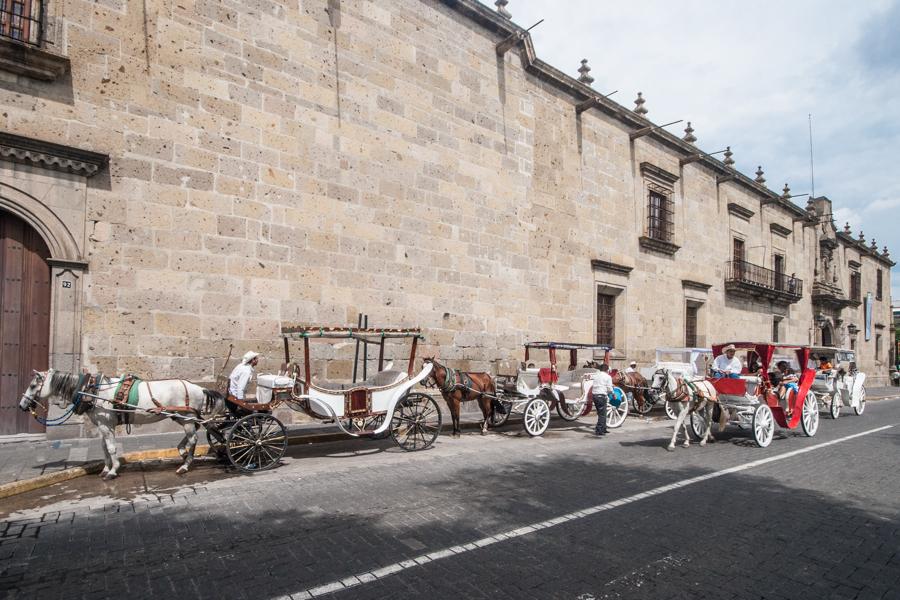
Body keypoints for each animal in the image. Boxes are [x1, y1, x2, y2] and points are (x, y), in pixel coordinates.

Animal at [19, 370, 225, 478]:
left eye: (32, 385)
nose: (21, 405)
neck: (91, 391)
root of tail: (199, 388)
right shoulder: (103, 425)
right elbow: (104, 447)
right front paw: (105, 469)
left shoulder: (106, 424)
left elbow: (111, 448)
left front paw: (112, 471)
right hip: (182, 416)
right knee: (192, 436)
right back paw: (183, 453)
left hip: (187, 417)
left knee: (193, 439)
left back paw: (185, 464)